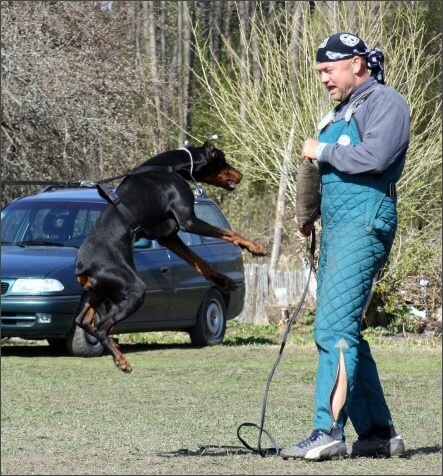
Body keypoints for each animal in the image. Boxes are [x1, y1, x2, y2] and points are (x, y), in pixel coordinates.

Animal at [75, 137, 268, 372]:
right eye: (223, 159)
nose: (240, 175)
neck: (171, 166)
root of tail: (84, 268)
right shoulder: (187, 220)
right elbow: (230, 233)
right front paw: (256, 247)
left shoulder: (168, 235)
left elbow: (198, 261)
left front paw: (223, 279)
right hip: (133, 289)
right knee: (102, 327)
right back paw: (121, 360)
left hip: (100, 290)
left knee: (85, 321)